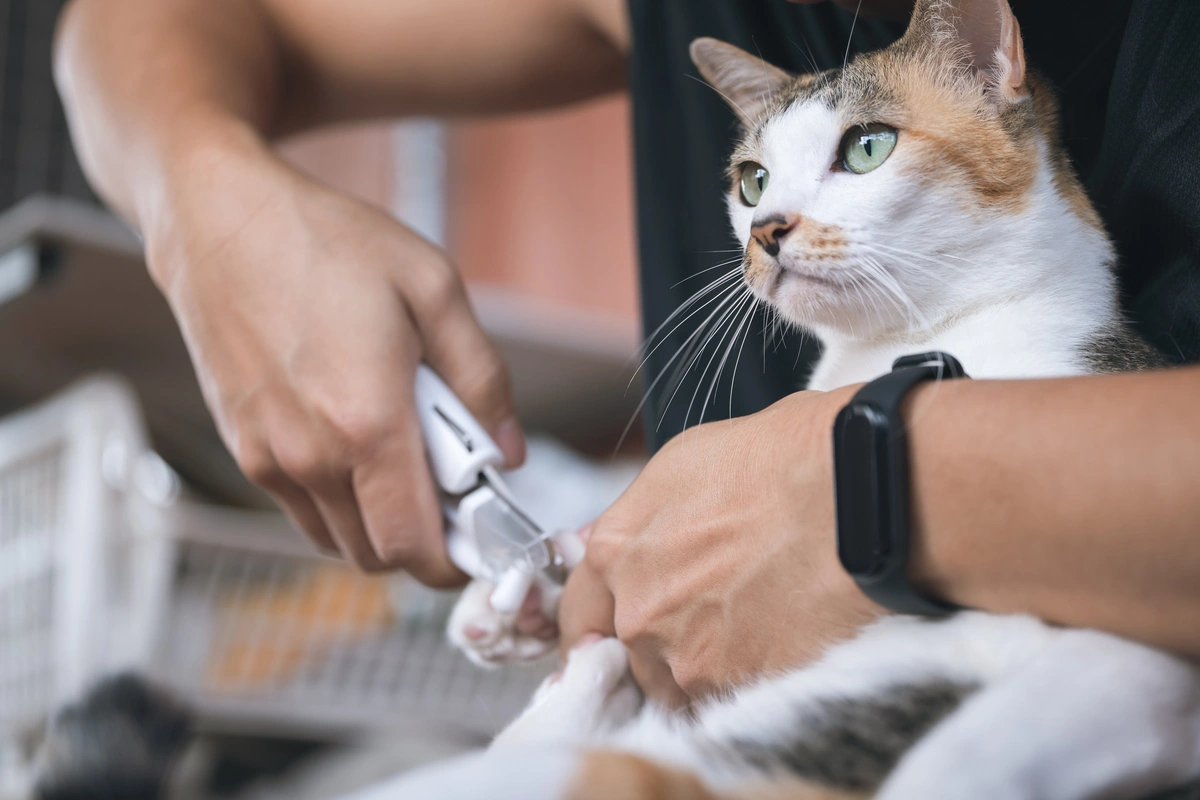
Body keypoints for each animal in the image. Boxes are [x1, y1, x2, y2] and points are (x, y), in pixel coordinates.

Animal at [420, 1, 1200, 800]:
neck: (890, 347)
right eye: (753, 181)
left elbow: (999, 740)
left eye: (866, 148)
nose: (767, 229)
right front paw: (523, 596)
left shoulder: (1130, 649)